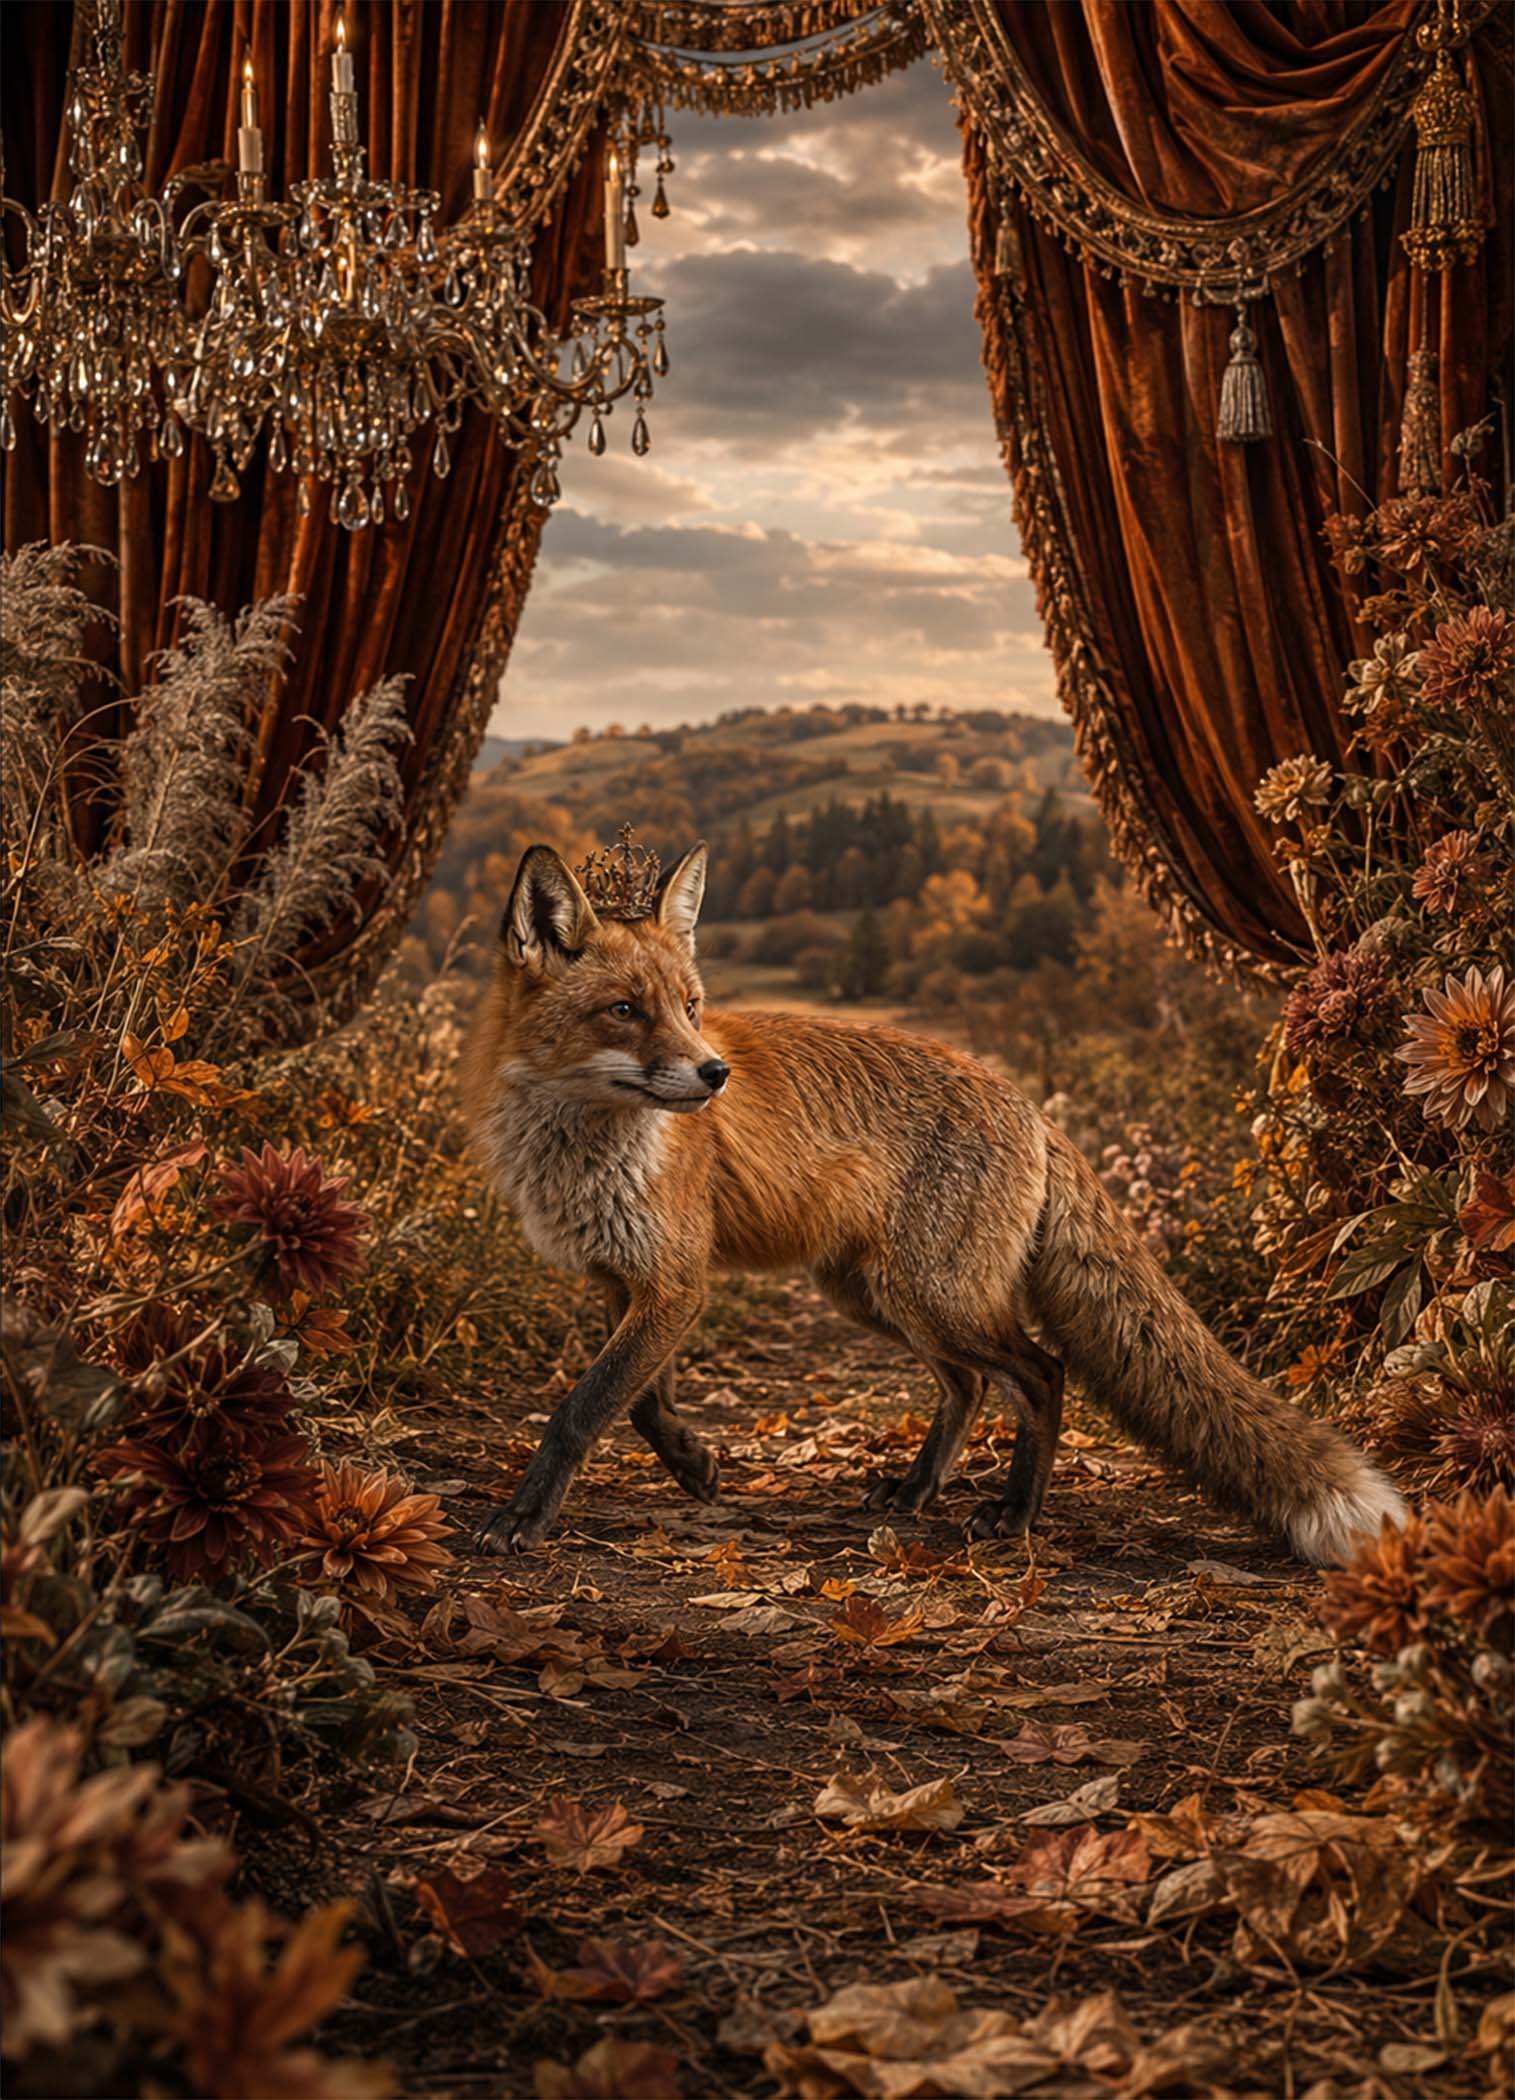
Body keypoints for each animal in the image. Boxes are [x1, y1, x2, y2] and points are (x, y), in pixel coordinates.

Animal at [461, 837, 1406, 1563]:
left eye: (691, 1006)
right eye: (625, 1010)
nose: (713, 1074)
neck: (583, 1150)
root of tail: (1029, 1105)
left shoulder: (675, 1282)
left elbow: (582, 1408)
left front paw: (523, 1518)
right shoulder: (624, 1280)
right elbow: (641, 1402)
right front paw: (693, 1464)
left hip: (935, 1295)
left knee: (1039, 1372)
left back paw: (1016, 1513)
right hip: (878, 1295)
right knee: (967, 1385)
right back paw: (915, 1489)